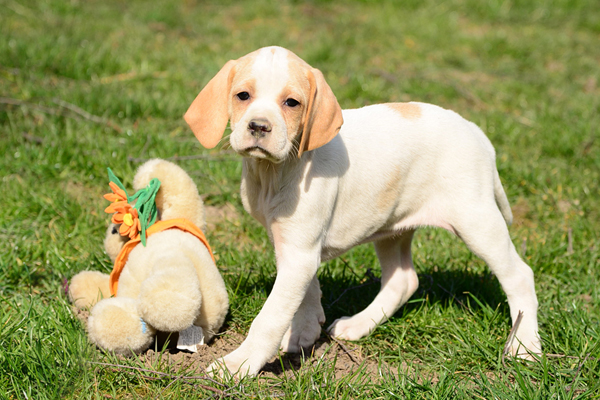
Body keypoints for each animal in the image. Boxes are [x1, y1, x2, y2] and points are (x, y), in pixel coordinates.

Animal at [183, 46, 540, 376]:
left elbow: (270, 318)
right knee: (403, 280)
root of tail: (478, 134)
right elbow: (306, 293)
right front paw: (304, 332)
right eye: (243, 95)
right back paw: (358, 324)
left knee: (520, 276)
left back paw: (525, 347)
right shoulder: (294, 246)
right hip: (393, 227)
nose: (259, 126)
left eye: (292, 103)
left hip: (476, 221)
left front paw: (238, 364)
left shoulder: (299, 251)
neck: (276, 171)